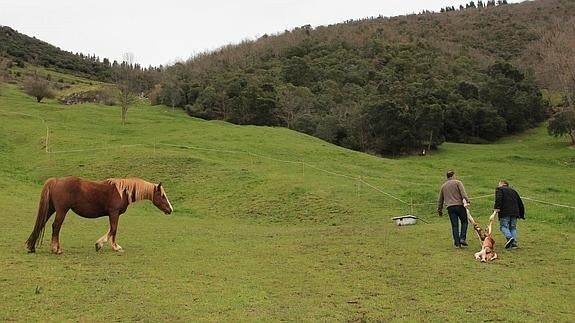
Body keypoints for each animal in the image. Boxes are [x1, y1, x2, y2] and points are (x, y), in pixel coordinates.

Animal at [25, 177, 173, 256]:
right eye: (163, 196)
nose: (170, 210)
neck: (122, 191)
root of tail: (55, 181)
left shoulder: (113, 214)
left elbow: (112, 230)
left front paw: (112, 246)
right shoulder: (114, 212)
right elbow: (113, 229)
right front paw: (102, 245)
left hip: (51, 209)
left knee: (41, 223)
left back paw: (31, 246)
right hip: (62, 210)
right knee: (56, 227)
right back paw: (56, 249)